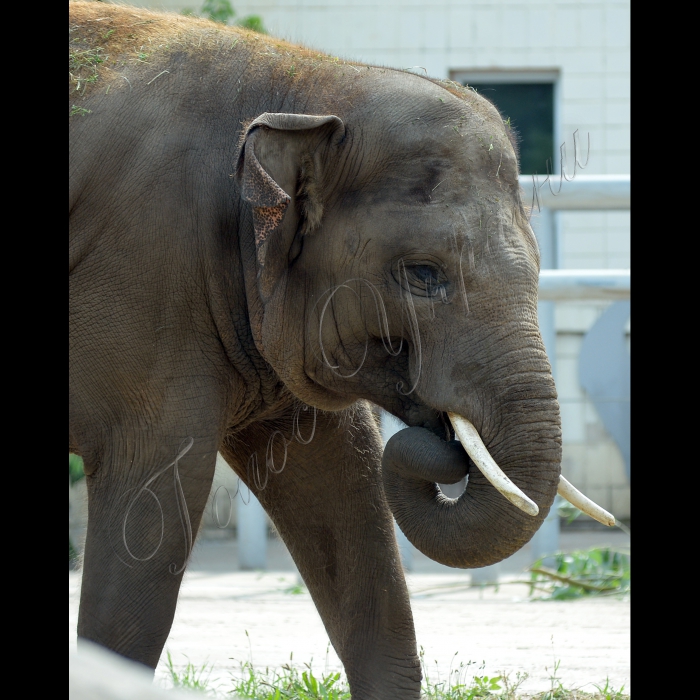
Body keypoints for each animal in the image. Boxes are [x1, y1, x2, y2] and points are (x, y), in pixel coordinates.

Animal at [67, 2, 612, 696]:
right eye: (423, 274)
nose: (446, 441)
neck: (307, 87)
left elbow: (344, 483)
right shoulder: (146, 274)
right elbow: (154, 503)